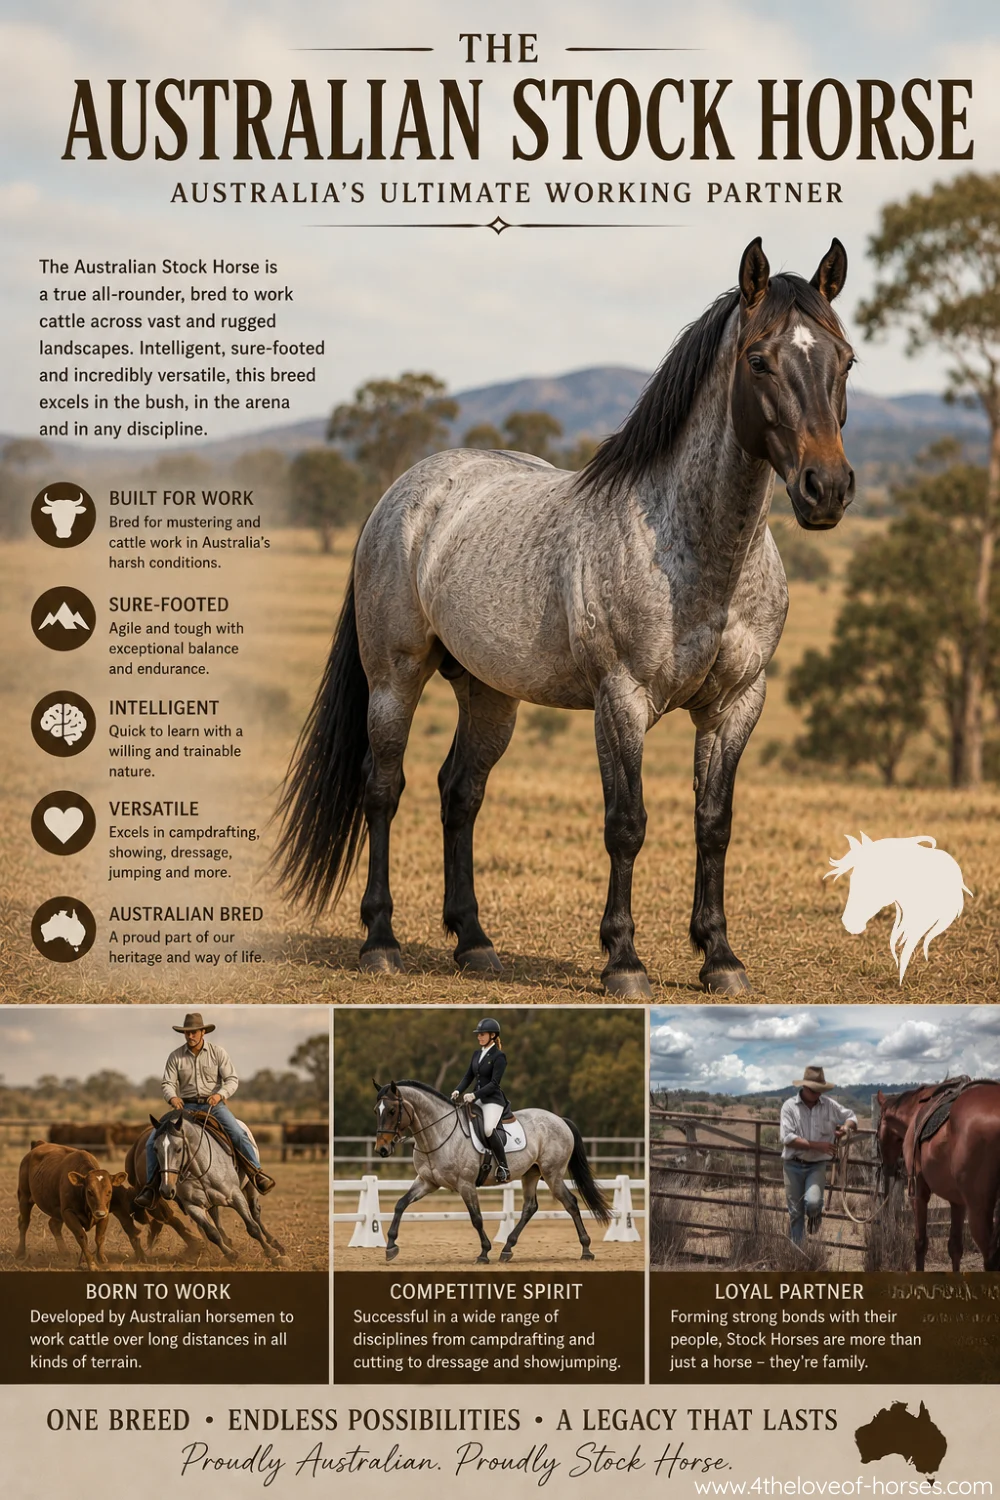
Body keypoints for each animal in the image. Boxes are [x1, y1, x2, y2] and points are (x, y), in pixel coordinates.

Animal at [148, 1112, 286, 1264]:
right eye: (155, 1149)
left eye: (178, 1149)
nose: (166, 1189)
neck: (200, 1171)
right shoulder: (193, 1206)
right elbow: (212, 1233)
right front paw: (230, 1254)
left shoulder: (235, 1196)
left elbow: (252, 1227)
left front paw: (271, 1252)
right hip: (211, 1202)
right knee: (217, 1219)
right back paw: (229, 1243)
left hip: (250, 1187)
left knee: (255, 1213)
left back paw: (275, 1244)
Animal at [276, 237, 855, 996]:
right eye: (760, 360)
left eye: (845, 359)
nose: (827, 490)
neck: (696, 551)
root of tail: (404, 491)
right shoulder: (622, 699)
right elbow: (627, 823)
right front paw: (624, 962)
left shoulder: (736, 703)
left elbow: (714, 823)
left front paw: (720, 958)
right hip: (394, 679)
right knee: (384, 789)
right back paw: (381, 941)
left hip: (489, 693)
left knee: (460, 792)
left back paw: (475, 942)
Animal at [372, 1080, 611, 1263]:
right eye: (377, 1111)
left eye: (392, 1111)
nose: (382, 1149)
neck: (438, 1133)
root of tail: (560, 1120)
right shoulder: (426, 1182)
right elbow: (400, 1204)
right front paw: (390, 1246)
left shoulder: (465, 1184)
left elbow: (476, 1218)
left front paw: (484, 1253)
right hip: (531, 1174)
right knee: (530, 1207)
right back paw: (507, 1249)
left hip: (553, 1174)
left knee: (570, 1203)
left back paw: (586, 1250)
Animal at [876, 1082, 1000, 1271]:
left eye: (877, 1132)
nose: (887, 1168)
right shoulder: (957, 1202)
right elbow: (955, 1247)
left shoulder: (918, 1194)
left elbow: (920, 1242)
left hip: (979, 1209)